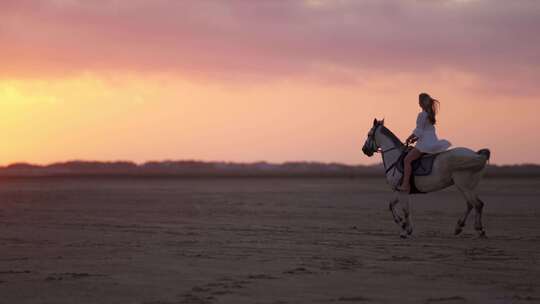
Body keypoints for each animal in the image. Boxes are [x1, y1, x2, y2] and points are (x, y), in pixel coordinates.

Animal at [362, 118, 490, 238]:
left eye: (369, 134)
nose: (364, 150)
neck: (395, 158)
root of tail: (477, 154)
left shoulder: (402, 191)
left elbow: (405, 211)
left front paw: (405, 231)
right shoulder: (399, 191)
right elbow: (391, 205)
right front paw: (404, 225)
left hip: (464, 186)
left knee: (476, 204)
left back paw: (479, 230)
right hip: (468, 187)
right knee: (472, 204)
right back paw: (460, 227)